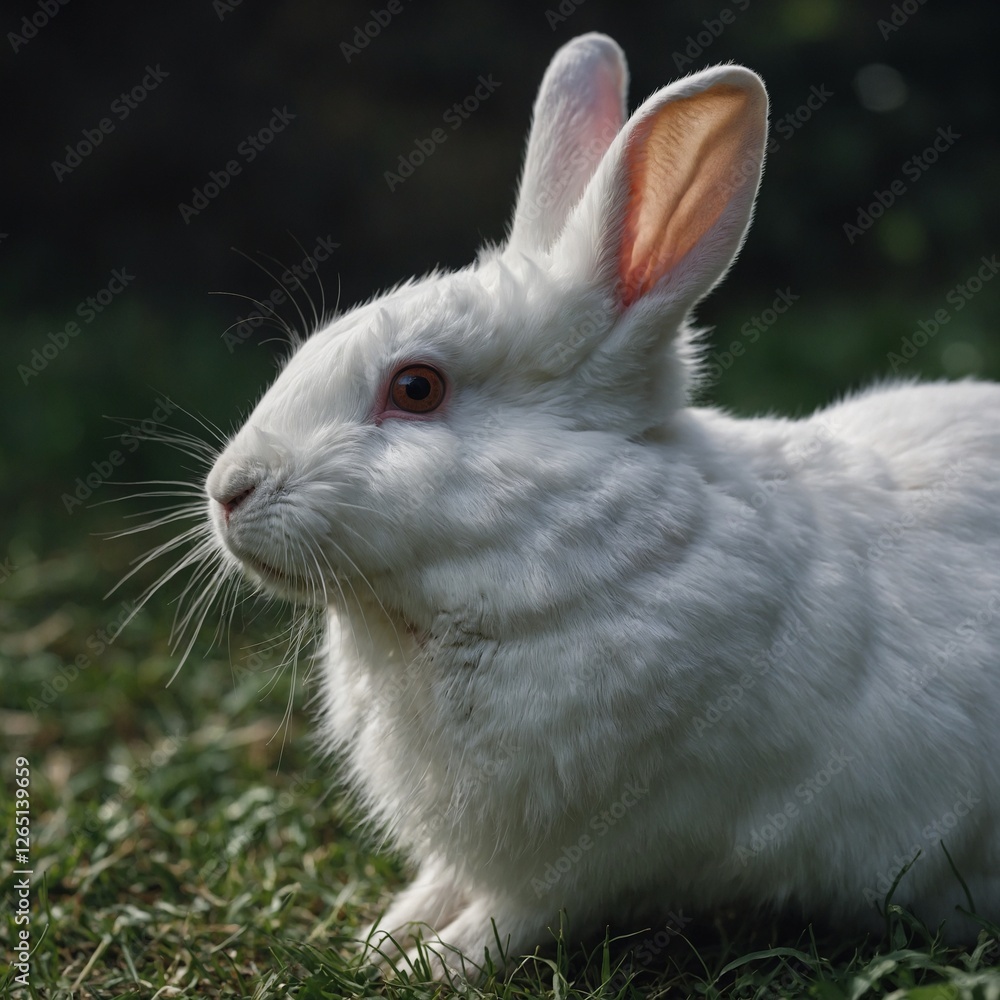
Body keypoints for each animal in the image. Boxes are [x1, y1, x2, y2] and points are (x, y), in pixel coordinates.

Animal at [201, 31, 1000, 978]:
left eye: (417, 388)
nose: (228, 492)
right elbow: (441, 881)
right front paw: (382, 937)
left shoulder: (605, 849)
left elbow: (514, 913)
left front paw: (428, 965)